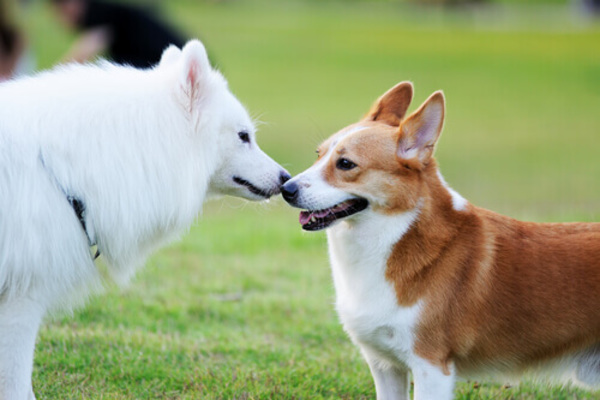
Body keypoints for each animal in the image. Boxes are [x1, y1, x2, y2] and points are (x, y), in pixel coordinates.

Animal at [280, 82, 600, 400]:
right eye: (318, 154)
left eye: (345, 164)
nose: (285, 188)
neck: (394, 236)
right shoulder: (385, 365)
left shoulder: (431, 366)